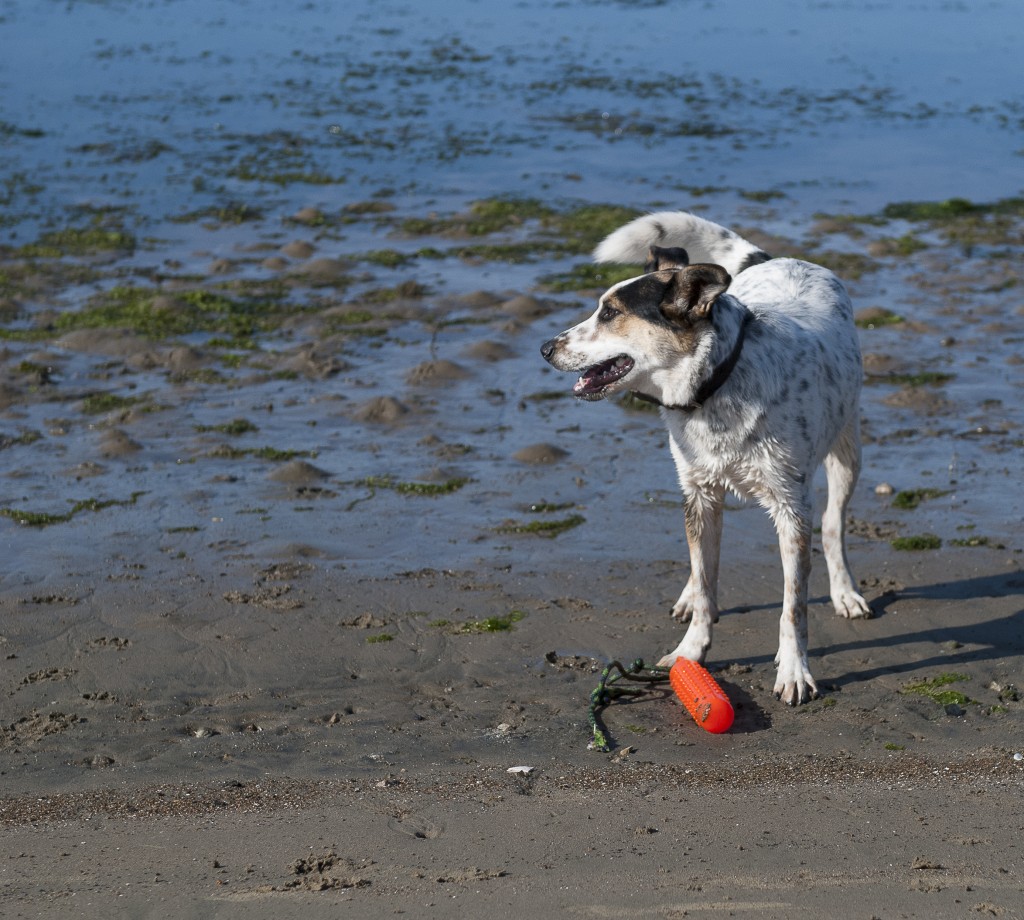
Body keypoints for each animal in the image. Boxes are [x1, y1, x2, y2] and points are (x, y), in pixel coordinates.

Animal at [540, 211, 868, 704]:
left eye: (610, 312)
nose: (545, 348)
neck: (716, 386)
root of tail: (776, 258)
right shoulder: (698, 493)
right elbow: (706, 579)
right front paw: (689, 651)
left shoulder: (792, 506)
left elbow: (793, 605)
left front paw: (794, 669)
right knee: (700, 566)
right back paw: (688, 594)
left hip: (847, 451)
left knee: (833, 524)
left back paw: (844, 591)